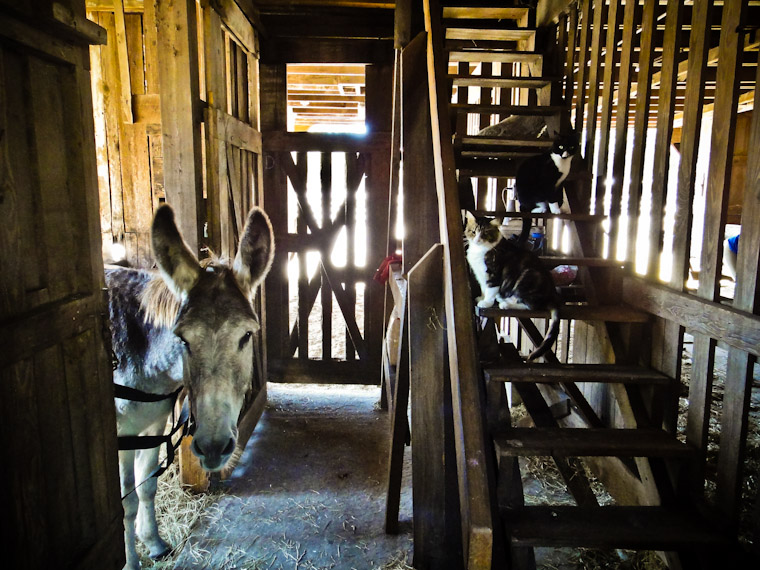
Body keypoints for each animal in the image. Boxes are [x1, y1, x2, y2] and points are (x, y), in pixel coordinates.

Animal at [460, 209, 560, 360]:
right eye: (473, 231)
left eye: (485, 233)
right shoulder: (481, 275)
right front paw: (481, 298)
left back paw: (506, 304)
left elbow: (490, 289)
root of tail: (553, 295)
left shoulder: (493, 274)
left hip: (528, 276)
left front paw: (486, 303)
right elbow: (484, 289)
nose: (477, 239)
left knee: (531, 306)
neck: (480, 251)